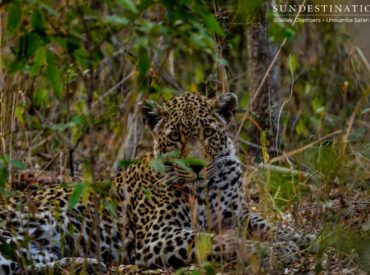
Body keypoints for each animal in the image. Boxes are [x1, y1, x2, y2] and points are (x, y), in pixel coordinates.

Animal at [0, 92, 312, 274]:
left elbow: (269, 226)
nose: (196, 167)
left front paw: (302, 237)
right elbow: (219, 240)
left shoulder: (237, 214)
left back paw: (84, 265)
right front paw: (276, 250)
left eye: (208, 132)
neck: (208, 187)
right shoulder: (156, 236)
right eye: (174, 137)